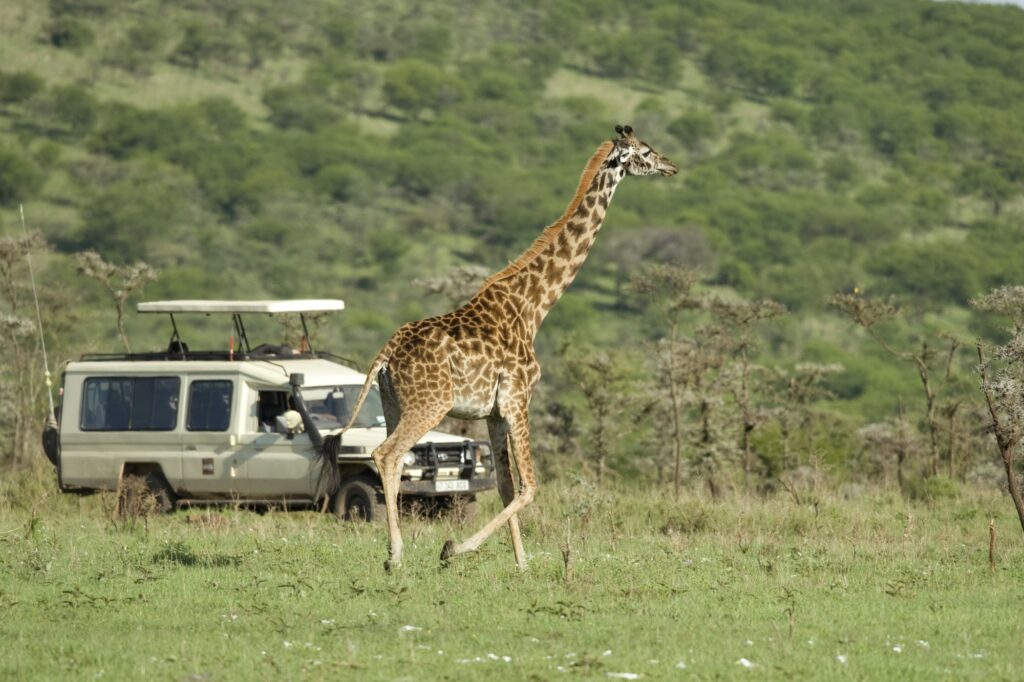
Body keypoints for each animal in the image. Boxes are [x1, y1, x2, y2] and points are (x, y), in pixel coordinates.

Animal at [315, 123, 675, 569]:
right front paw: (455, 548)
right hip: (430, 404)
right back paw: (395, 557)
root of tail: (385, 354)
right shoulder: (518, 398)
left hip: (393, 403)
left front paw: (521, 565)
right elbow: (530, 486)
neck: (533, 307)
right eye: (646, 151)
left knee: (391, 459)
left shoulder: (493, 412)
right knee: (387, 454)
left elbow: (505, 485)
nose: (672, 166)